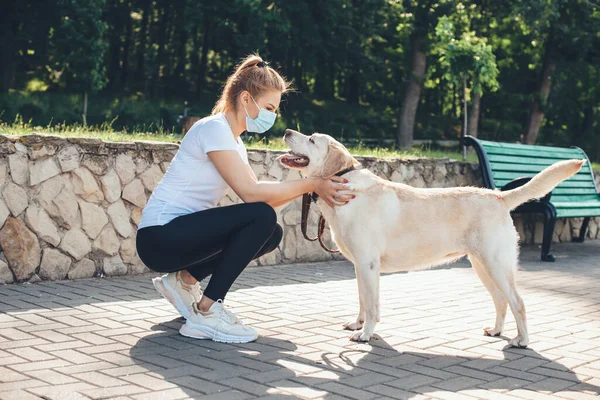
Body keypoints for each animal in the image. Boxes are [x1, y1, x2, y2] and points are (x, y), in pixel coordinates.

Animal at [280, 129, 584, 346]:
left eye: (311, 139)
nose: (285, 130)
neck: (346, 187)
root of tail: (498, 196)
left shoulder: (368, 264)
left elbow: (373, 304)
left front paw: (365, 334)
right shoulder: (359, 266)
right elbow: (362, 300)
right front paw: (357, 324)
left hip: (497, 265)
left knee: (518, 302)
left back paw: (522, 340)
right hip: (482, 265)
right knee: (501, 301)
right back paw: (496, 331)